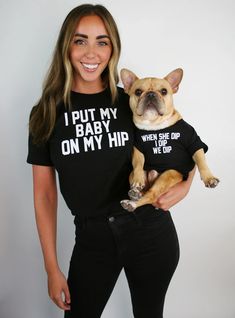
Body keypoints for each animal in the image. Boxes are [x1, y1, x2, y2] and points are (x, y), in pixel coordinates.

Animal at [120, 67, 219, 211]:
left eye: (164, 91)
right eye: (138, 92)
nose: (151, 94)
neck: (154, 125)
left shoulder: (193, 142)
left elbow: (201, 161)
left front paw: (209, 178)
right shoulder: (138, 148)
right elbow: (138, 164)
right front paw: (138, 180)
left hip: (169, 175)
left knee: (152, 194)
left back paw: (132, 202)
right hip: (132, 174)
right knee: (147, 192)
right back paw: (134, 196)